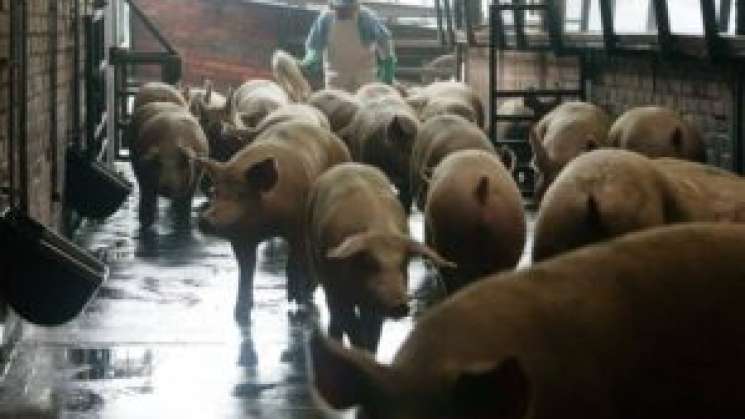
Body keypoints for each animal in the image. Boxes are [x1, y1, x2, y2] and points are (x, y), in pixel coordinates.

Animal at [197, 120, 351, 324]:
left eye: (241, 194)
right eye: (215, 192)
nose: (205, 219)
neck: (266, 224)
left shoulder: (298, 228)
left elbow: (293, 263)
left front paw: (295, 301)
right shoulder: (240, 239)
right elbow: (246, 271)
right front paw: (240, 312)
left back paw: (307, 292)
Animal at [306, 162, 454, 352]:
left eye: (403, 263)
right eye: (370, 264)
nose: (400, 305)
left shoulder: (375, 301)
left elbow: (373, 334)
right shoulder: (338, 289)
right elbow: (352, 326)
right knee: (335, 316)